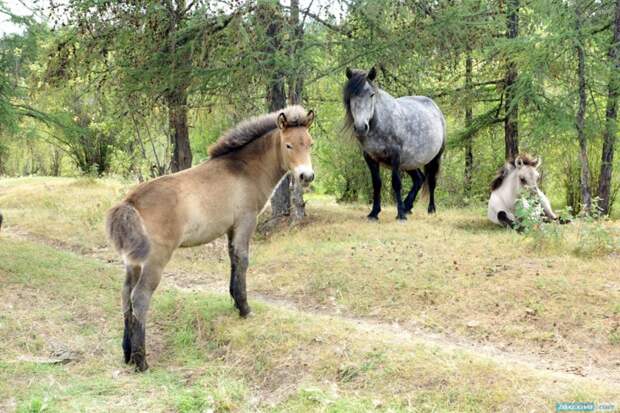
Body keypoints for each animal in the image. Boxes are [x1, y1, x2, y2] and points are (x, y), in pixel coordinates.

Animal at [105, 106, 314, 370]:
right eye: (288, 145)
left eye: (310, 143)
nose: (307, 176)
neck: (244, 169)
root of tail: (130, 201)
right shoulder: (246, 221)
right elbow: (243, 260)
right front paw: (245, 309)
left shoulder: (231, 228)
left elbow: (233, 260)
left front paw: (235, 302)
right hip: (155, 260)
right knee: (140, 298)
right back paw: (141, 361)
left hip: (133, 262)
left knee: (125, 296)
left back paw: (127, 353)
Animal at [344, 68, 446, 220]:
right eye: (351, 95)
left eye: (371, 94)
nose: (361, 127)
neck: (381, 123)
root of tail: (436, 108)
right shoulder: (370, 158)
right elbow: (376, 184)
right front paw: (374, 213)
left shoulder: (395, 156)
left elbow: (396, 183)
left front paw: (400, 215)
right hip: (410, 161)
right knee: (419, 179)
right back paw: (408, 206)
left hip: (435, 158)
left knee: (432, 181)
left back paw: (430, 209)